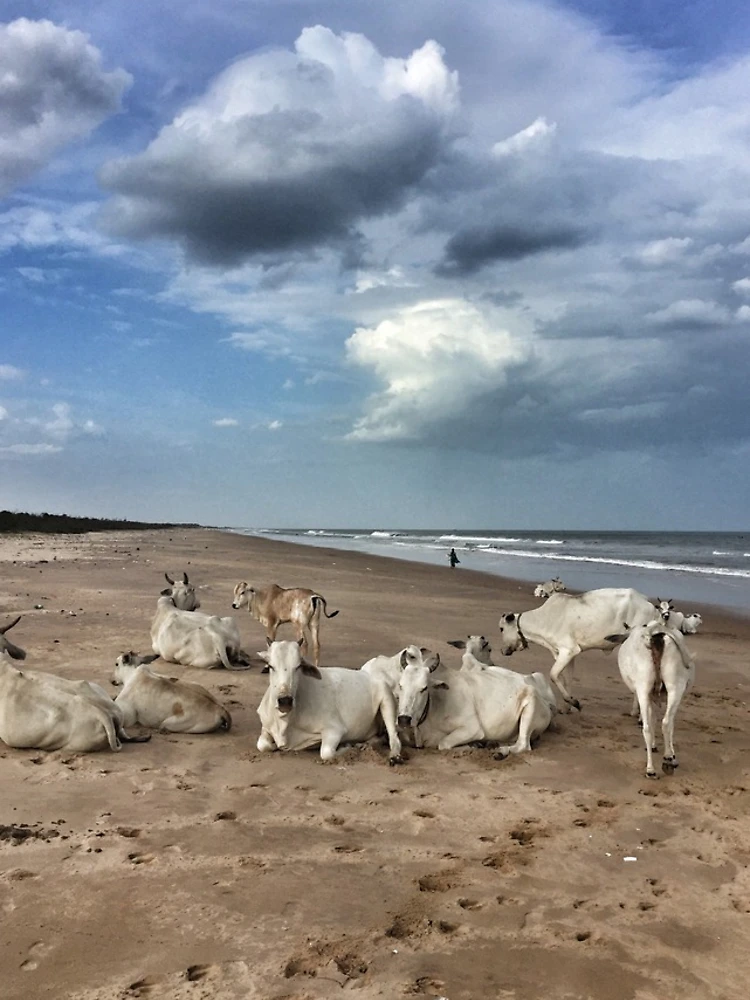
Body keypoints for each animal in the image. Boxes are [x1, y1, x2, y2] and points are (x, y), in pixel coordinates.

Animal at [256, 639, 402, 763]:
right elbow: (262, 745)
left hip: (387, 700)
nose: (285, 700)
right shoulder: (265, 726)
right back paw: (364, 744)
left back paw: (394, 756)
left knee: (394, 738)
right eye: (270, 666)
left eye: (298, 666)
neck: (285, 721)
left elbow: (326, 753)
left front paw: (346, 746)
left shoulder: (335, 729)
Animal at [395, 640, 557, 757]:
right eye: (400, 685)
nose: (404, 719)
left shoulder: (472, 728)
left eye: (424, 688)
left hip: (530, 706)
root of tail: (544, 702)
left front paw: (470, 747)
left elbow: (443, 744)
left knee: (523, 745)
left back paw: (500, 751)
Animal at [496, 588, 657, 710]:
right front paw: (568, 707)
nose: (503, 651)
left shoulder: (568, 650)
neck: (544, 619)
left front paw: (573, 702)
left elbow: (553, 674)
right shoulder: (568, 654)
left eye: (501, 629)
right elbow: (567, 679)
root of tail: (650, 605)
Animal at [605, 622, 695, 778]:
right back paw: (665, 760)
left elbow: (654, 721)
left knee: (650, 727)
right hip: (673, 688)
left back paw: (652, 768)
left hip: (646, 689)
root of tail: (656, 636)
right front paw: (668, 753)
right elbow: (659, 721)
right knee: (665, 723)